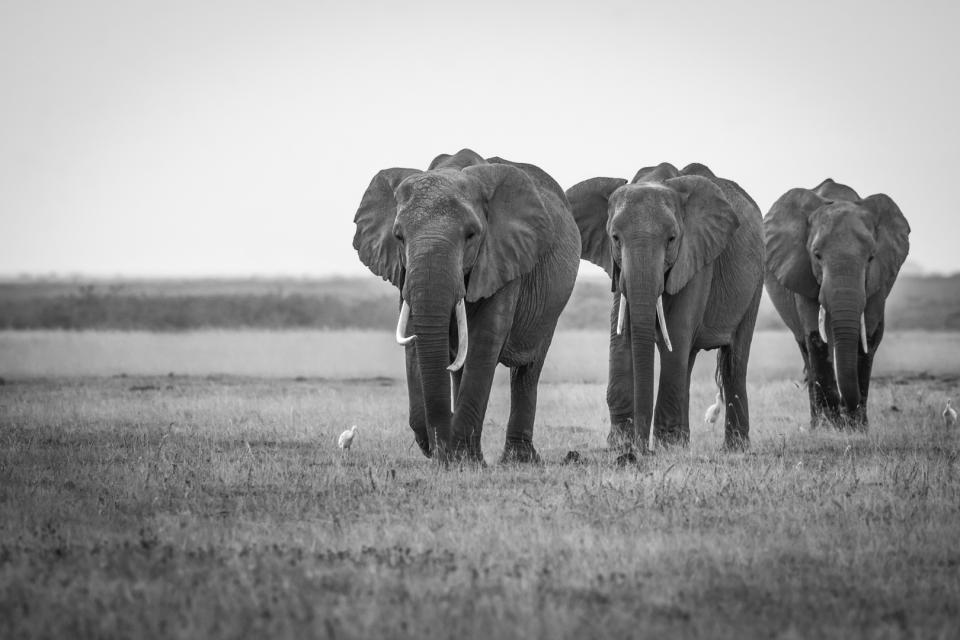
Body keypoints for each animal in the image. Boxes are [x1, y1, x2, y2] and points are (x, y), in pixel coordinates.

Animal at [353, 148, 580, 464]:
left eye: (471, 235)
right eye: (398, 236)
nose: (439, 450)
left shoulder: (504, 256)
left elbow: (485, 339)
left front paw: (461, 460)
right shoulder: (403, 271)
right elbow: (414, 339)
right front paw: (448, 452)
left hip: (551, 306)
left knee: (528, 369)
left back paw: (517, 460)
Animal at [568, 162, 764, 451]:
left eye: (671, 239)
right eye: (615, 238)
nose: (640, 449)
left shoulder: (696, 256)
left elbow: (677, 332)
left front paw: (663, 448)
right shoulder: (618, 269)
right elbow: (621, 338)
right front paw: (619, 445)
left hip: (756, 281)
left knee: (733, 360)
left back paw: (734, 448)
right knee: (688, 359)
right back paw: (685, 442)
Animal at [764, 178, 910, 429]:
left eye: (871, 257)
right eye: (816, 255)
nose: (845, 407)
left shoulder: (879, 279)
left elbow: (868, 336)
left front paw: (857, 428)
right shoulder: (802, 272)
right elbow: (815, 336)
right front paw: (831, 427)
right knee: (805, 347)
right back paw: (816, 425)